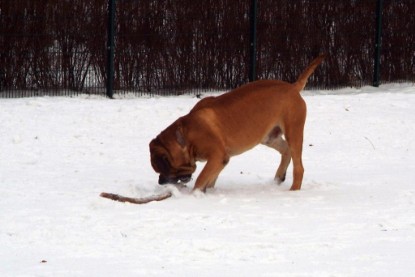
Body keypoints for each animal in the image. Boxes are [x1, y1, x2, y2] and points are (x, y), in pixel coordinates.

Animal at [149, 54, 324, 192]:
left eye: (164, 170)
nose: (160, 181)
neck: (185, 134)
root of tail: (293, 87)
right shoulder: (221, 160)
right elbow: (210, 178)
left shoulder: (217, 156)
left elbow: (201, 178)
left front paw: (196, 195)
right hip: (269, 137)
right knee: (286, 151)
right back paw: (278, 178)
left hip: (294, 132)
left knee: (299, 167)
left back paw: (293, 190)